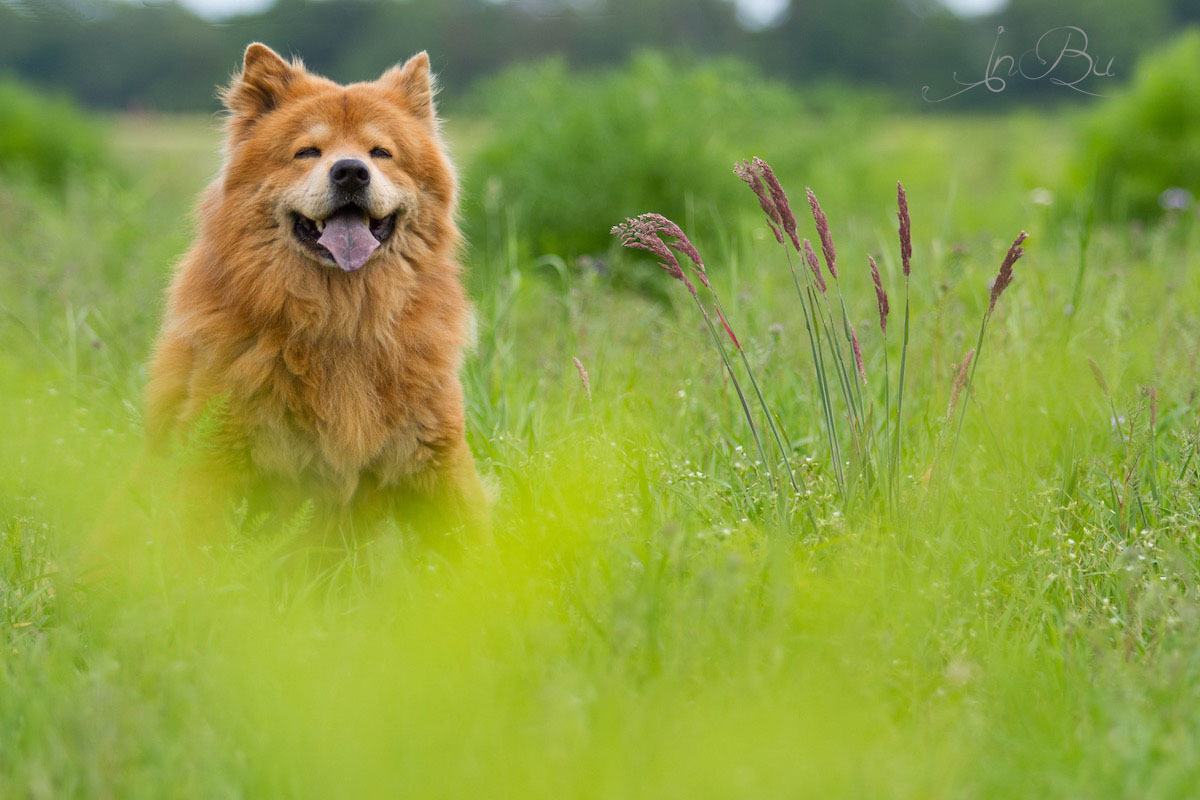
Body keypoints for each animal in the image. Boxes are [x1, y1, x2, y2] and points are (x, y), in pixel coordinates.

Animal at [144, 43, 487, 542]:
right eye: (307, 152)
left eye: (381, 153)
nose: (351, 172)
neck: (344, 319)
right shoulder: (217, 453)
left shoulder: (438, 454)